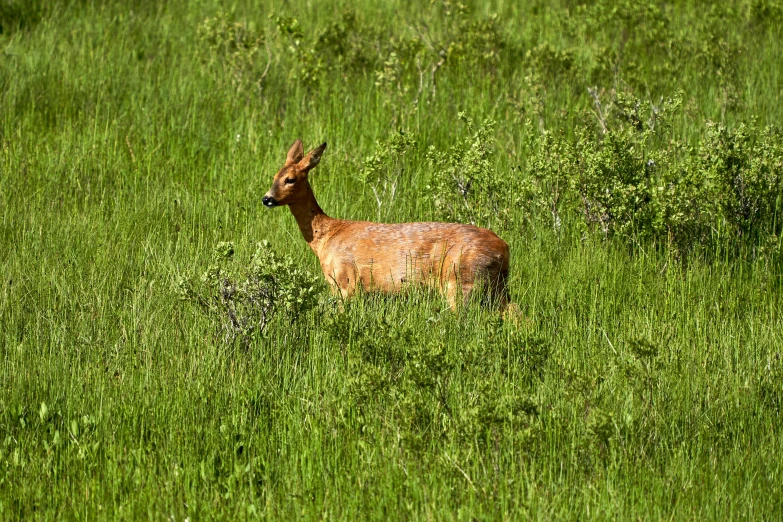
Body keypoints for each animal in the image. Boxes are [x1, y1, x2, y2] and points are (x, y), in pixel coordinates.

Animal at [264, 138, 516, 310]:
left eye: (290, 179)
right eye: (273, 177)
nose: (266, 199)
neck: (326, 237)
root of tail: (504, 248)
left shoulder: (345, 282)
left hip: (461, 282)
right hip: (495, 286)